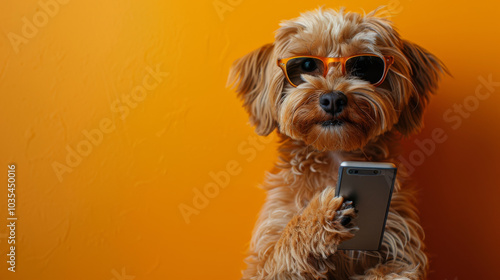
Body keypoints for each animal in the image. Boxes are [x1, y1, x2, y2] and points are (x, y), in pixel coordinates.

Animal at [228, 7, 446, 280]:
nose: (332, 98)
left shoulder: (403, 249)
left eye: (362, 66)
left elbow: (390, 270)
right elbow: (287, 242)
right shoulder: (266, 254)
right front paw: (321, 215)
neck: (334, 155)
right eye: (307, 65)